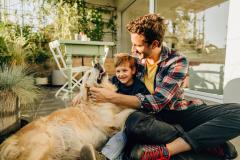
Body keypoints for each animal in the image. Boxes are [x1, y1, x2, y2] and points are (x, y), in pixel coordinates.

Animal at [0, 63, 135, 159]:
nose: (97, 64)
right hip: (41, 144)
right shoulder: (111, 121)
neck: (97, 99)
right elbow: (129, 111)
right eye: (88, 74)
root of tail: (8, 141)